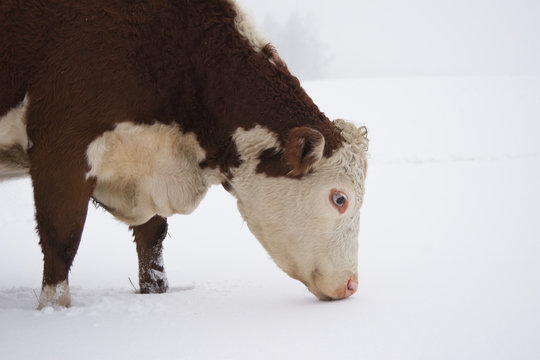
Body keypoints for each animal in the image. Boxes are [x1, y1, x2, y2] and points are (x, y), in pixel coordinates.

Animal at [0, 0, 368, 310]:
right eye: (339, 199)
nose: (351, 285)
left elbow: (152, 242)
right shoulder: (61, 148)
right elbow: (61, 240)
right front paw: (53, 310)